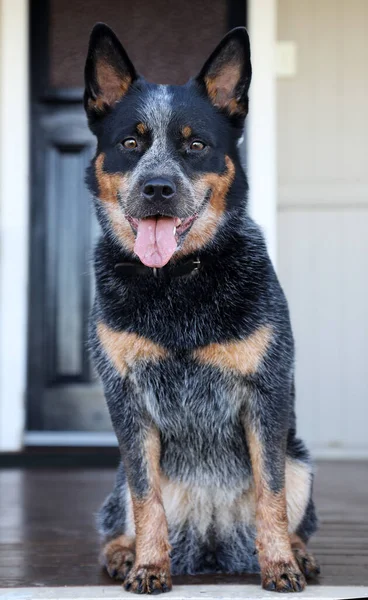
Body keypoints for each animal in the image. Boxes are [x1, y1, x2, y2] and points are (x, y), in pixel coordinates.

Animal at [83, 23, 320, 596]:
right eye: (130, 143)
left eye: (196, 145)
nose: (158, 187)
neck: (176, 280)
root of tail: (210, 541)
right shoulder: (126, 398)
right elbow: (147, 499)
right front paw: (148, 566)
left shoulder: (266, 393)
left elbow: (270, 495)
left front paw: (280, 565)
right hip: (117, 482)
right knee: (122, 515)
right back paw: (123, 554)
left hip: (301, 458)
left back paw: (299, 553)